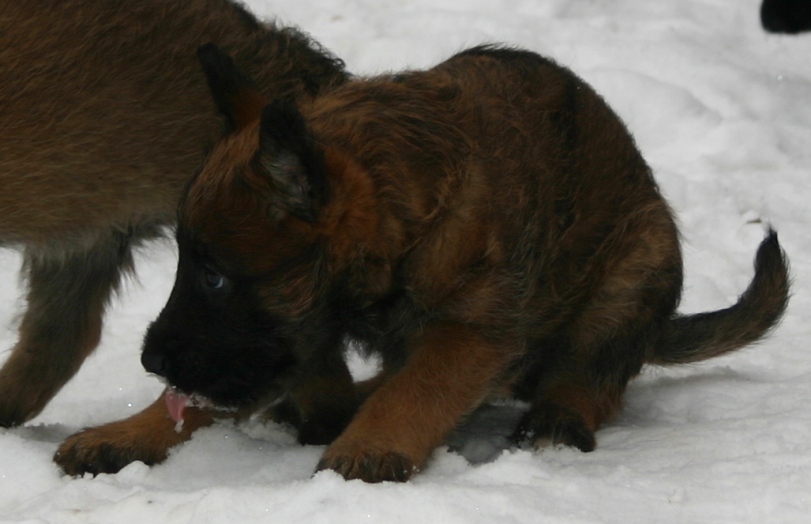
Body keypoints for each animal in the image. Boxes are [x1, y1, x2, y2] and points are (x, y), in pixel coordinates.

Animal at [123, 46, 788, 484]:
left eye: (214, 275)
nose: (150, 360)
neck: (406, 218)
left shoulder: (473, 332)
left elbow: (419, 389)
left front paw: (367, 448)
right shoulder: (297, 338)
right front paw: (128, 434)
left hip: (634, 269)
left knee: (587, 376)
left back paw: (557, 419)